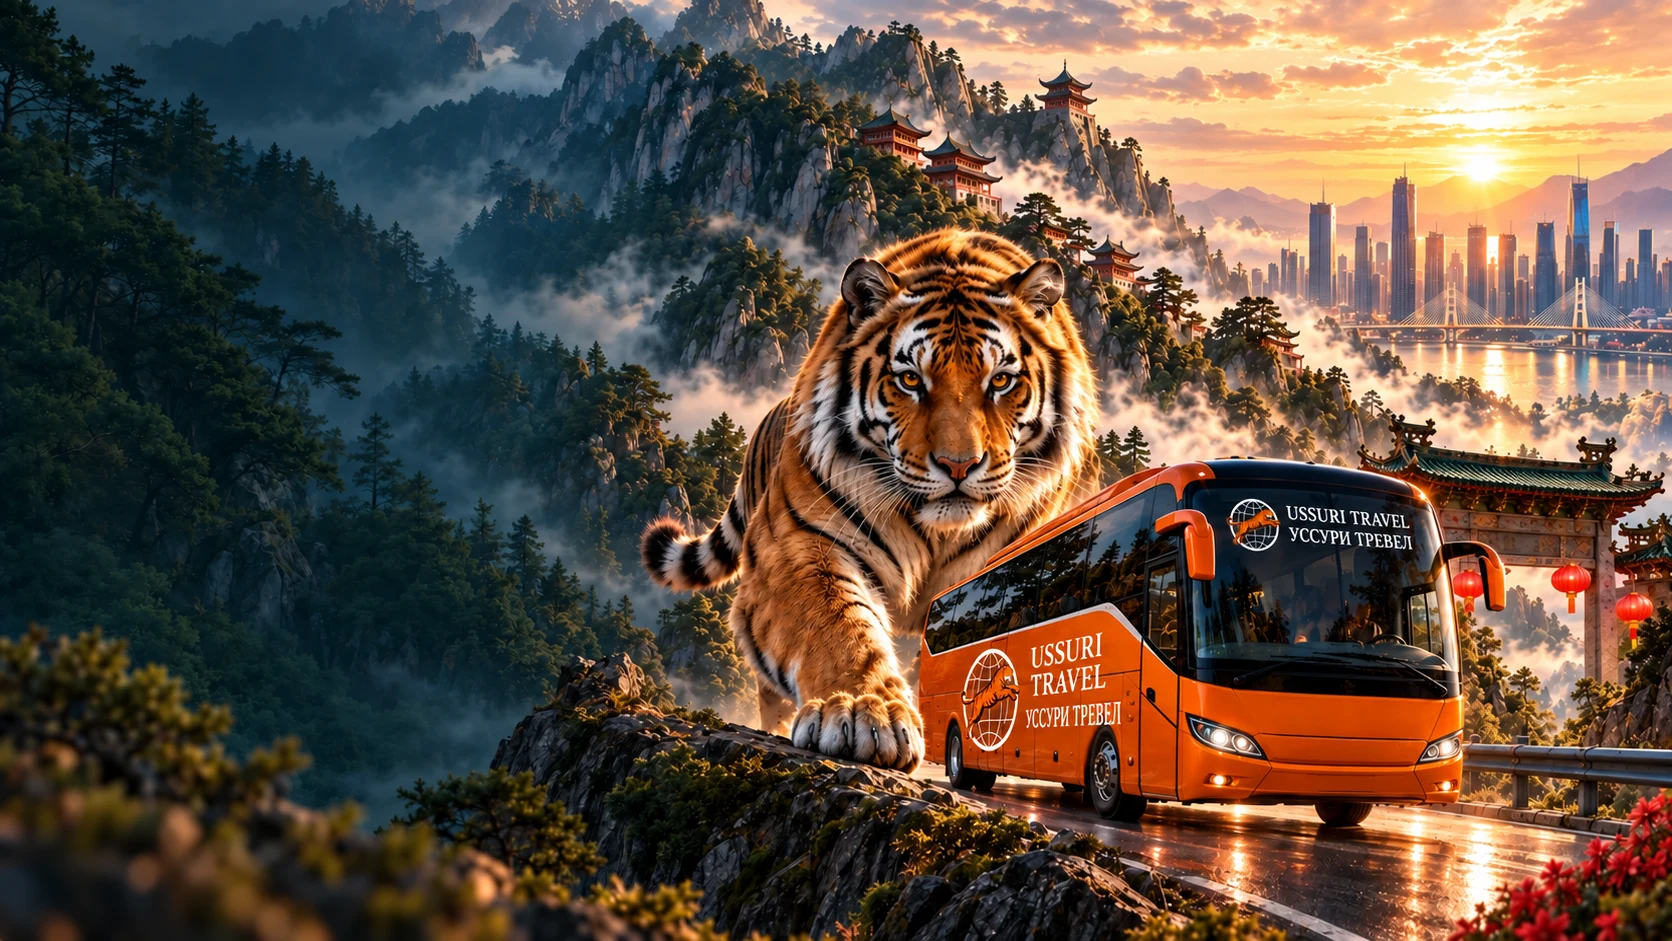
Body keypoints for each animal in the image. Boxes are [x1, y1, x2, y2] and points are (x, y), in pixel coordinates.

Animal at [641, 229, 1102, 770]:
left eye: (1001, 381)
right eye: (911, 380)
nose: (959, 466)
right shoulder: (800, 543)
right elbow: (840, 625)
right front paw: (864, 712)